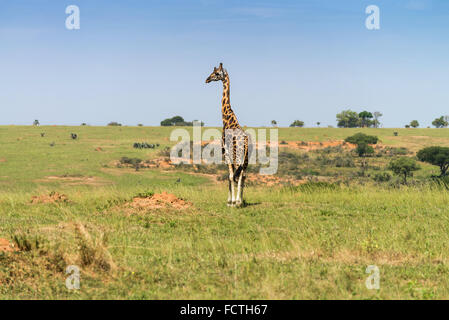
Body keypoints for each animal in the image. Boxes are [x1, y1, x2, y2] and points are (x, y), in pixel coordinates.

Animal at [206, 62, 248, 208]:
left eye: (217, 73)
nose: (207, 79)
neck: (228, 119)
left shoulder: (226, 153)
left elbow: (229, 176)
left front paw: (230, 201)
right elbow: (233, 176)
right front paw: (235, 201)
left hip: (237, 156)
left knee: (237, 175)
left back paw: (236, 202)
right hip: (246, 159)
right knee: (243, 175)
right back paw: (240, 201)